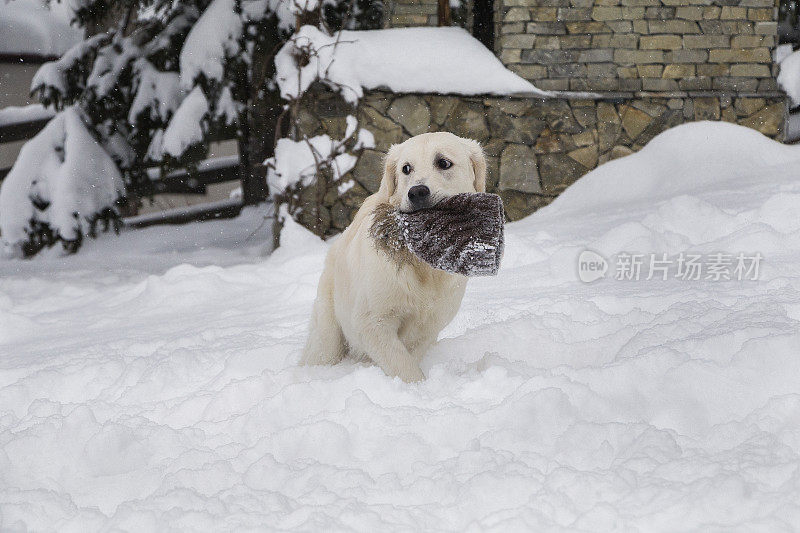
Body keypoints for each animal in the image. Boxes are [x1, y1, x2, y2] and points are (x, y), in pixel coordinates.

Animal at [300, 133, 488, 382]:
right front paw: (417, 387)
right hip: (329, 331)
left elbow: (410, 355)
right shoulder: (372, 321)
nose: (416, 192)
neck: (422, 266)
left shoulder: (429, 325)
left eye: (443, 162)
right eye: (406, 168)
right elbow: (403, 365)